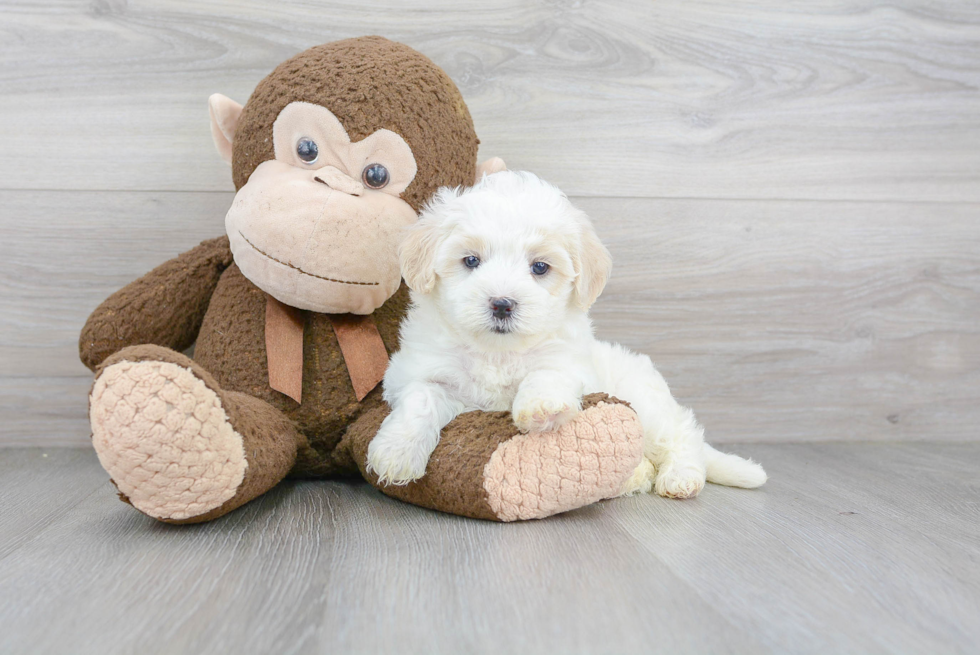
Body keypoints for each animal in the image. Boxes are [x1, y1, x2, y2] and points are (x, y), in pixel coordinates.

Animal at [368, 172, 764, 500]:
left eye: (540, 267)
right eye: (471, 261)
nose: (502, 304)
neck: (498, 352)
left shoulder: (570, 362)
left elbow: (549, 373)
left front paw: (541, 406)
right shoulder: (417, 371)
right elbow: (421, 399)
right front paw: (396, 452)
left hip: (647, 403)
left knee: (683, 434)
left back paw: (681, 477)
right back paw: (635, 477)